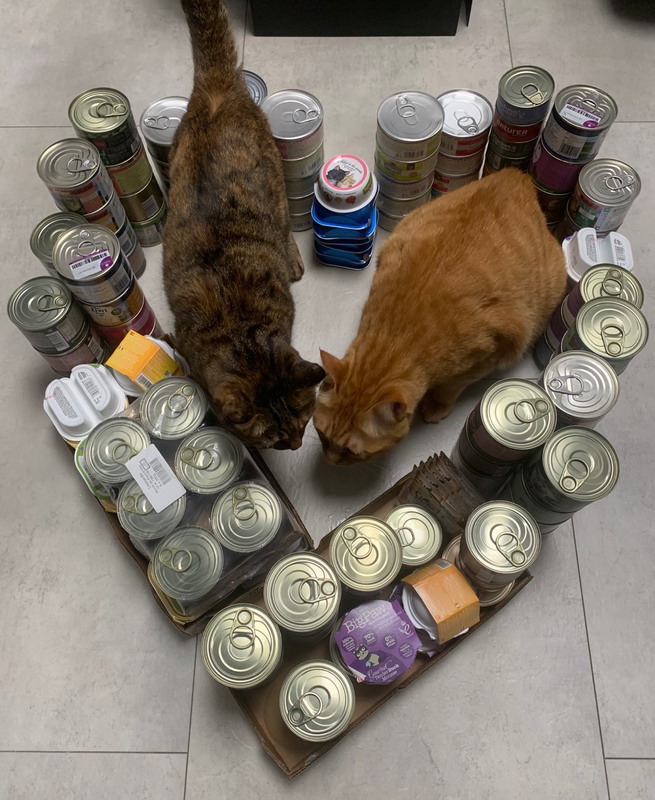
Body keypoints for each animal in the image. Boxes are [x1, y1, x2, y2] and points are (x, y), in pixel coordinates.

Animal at [163, 0, 325, 450]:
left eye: (304, 420)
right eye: (274, 440)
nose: (296, 446)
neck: (239, 334)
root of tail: (218, 88)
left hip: (275, 179)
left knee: (284, 224)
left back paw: (292, 257)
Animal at [314, 169, 567, 464]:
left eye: (350, 453)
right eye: (321, 435)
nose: (330, 461)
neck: (397, 334)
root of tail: (515, 174)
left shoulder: (489, 353)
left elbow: (452, 386)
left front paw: (437, 404)